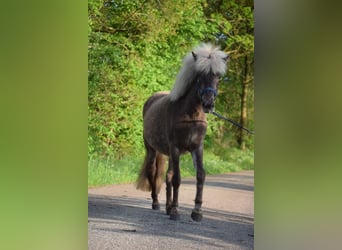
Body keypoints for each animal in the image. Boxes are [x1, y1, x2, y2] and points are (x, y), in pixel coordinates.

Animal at [137, 43, 230, 221]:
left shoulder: (197, 147)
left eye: (218, 77)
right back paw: (157, 203)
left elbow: (200, 175)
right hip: (152, 149)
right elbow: (177, 179)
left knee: (167, 175)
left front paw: (197, 211)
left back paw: (167, 206)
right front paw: (175, 211)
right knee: (153, 172)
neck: (190, 116)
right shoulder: (175, 148)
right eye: (199, 76)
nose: (208, 104)